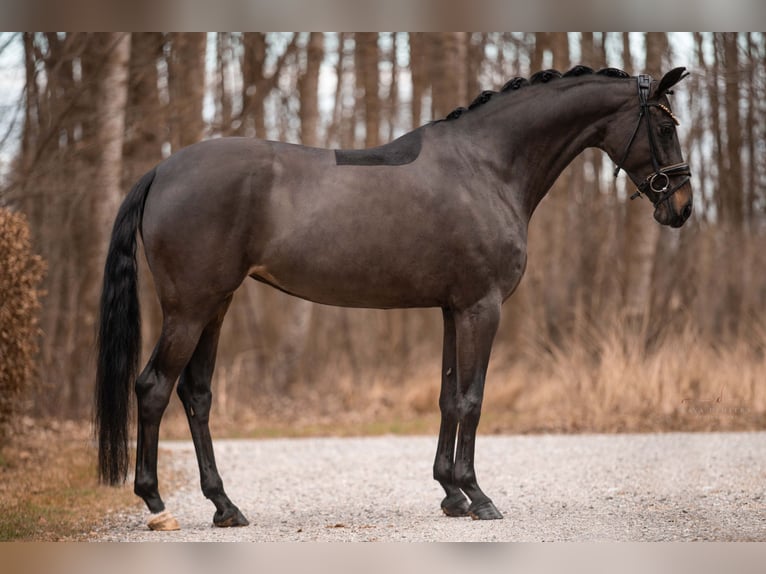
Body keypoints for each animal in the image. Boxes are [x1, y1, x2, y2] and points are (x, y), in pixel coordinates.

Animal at [93, 64, 692, 532]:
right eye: (665, 125)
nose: (682, 206)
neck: (487, 166)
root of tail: (161, 170)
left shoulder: (454, 309)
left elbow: (449, 397)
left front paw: (450, 493)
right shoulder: (482, 307)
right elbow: (473, 400)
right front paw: (479, 496)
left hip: (215, 307)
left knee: (196, 395)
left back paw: (225, 506)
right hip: (189, 309)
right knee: (153, 388)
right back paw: (157, 505)